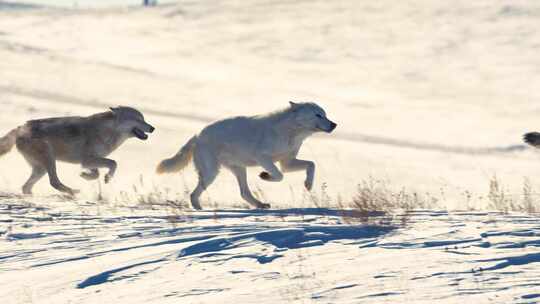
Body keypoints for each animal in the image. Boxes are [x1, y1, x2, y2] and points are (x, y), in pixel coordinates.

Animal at [0, 106, 154, 195]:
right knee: (53, 182)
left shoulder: (88, 161)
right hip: (49, 160)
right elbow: (113, 163)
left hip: (41, 168)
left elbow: (96, 173)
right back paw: (73, 193)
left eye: (144, 119)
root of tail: (20, 128)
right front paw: (107, 178)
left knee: (26, 187)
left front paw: (86, 175)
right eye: (139, 119)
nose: (153, 128)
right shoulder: (88, 160)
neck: (108, 131)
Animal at [154, 101, 338, 209]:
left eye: (325, 114)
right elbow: (279, 176)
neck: (291, 132)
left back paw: (260, 205)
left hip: (238, 170)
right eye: (318, 114)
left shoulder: (287, 162)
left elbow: (311, 164)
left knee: (244, 193)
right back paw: (198, 209)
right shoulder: (264, 158)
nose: (334, 125)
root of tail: (197, 135)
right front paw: (265, 176)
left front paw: (308, 184)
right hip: (211, 173)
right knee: (194, 194)